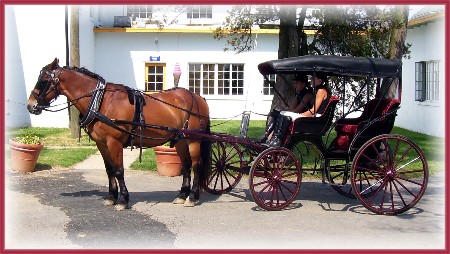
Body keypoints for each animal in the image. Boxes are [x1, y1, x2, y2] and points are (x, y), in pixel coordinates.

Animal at [27, 58, 212, 210]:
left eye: (43, 80)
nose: (31, 105)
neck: (101, 101)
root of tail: (198, 97)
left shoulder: (114, 142)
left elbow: (118, 170)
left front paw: (122, 200)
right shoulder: (102, 144)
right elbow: (109, 170)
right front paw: (111, 197)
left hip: (193, 139)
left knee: (196, 165)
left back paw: (192, 197)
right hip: (180, 140)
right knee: (186, 166)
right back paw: (182, 195)